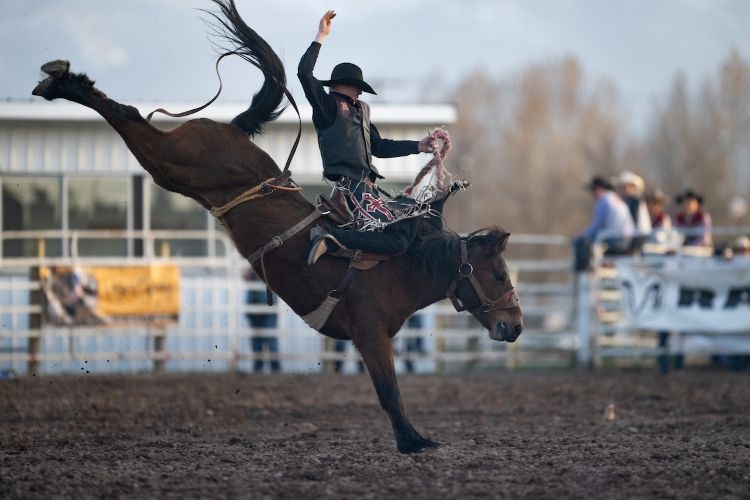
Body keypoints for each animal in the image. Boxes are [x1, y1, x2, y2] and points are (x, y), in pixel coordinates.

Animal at [32, 0, 523, 454]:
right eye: (500, 274)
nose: (515, 327)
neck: (402, 266)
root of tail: (233, 128)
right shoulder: (369, 335)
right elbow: (389, 392)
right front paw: (411, 441)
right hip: (174, 163)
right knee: (131, 117)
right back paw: (61, 82)